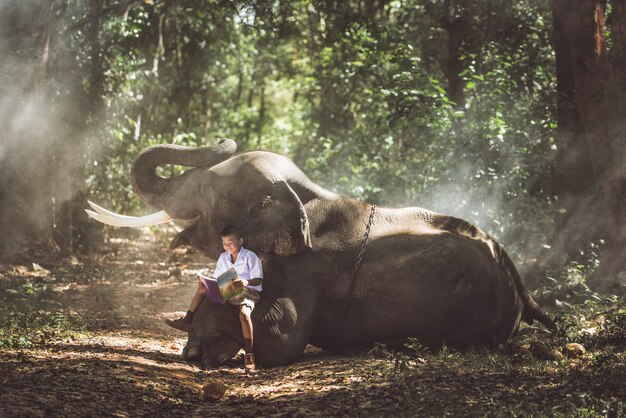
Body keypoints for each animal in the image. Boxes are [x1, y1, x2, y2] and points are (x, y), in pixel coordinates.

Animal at [86, 138, 552, 366]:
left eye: (209, 189)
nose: (224, 137)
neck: (304, 194)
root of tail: (519, 282)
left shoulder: (306, 267)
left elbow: (281, 338)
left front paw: (198, 349)